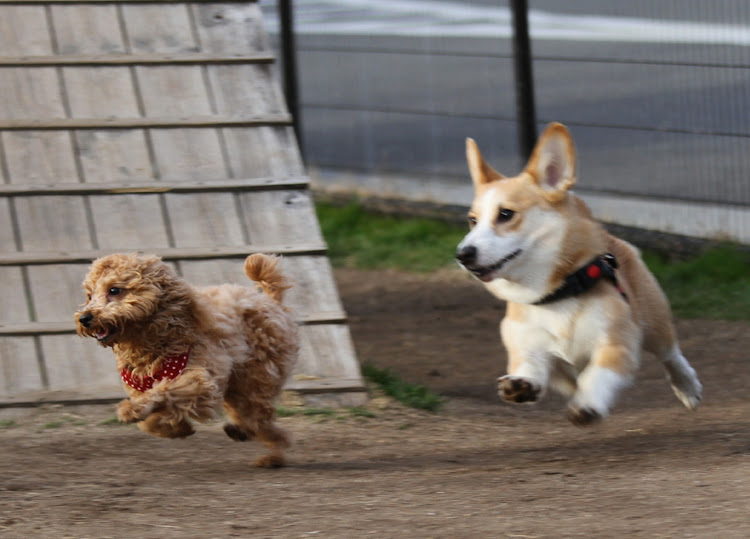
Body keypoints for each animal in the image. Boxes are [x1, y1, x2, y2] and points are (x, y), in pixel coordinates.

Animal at [74, 253, 300, 468]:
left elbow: (164, 391)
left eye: (114, 290)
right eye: (89, 295)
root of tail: (272, 302)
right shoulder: (141, 389)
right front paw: (179, 428)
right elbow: (149, 423)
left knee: (260, 417)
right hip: (237, 389)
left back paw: (269, 451)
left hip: (256, 380)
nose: (84, 318)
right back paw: (253, 441)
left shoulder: (200, 382)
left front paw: (132, 410)